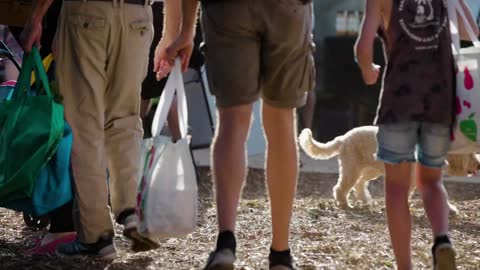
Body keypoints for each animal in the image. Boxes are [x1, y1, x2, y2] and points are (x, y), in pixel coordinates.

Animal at [298, 125, 478, 210]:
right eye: (470, 153)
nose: (479, 164)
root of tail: (343, 138)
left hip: (370, 170)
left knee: (360, 184)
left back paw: (365, 200)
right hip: (352, 169)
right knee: (341, 188)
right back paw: (344, 204)